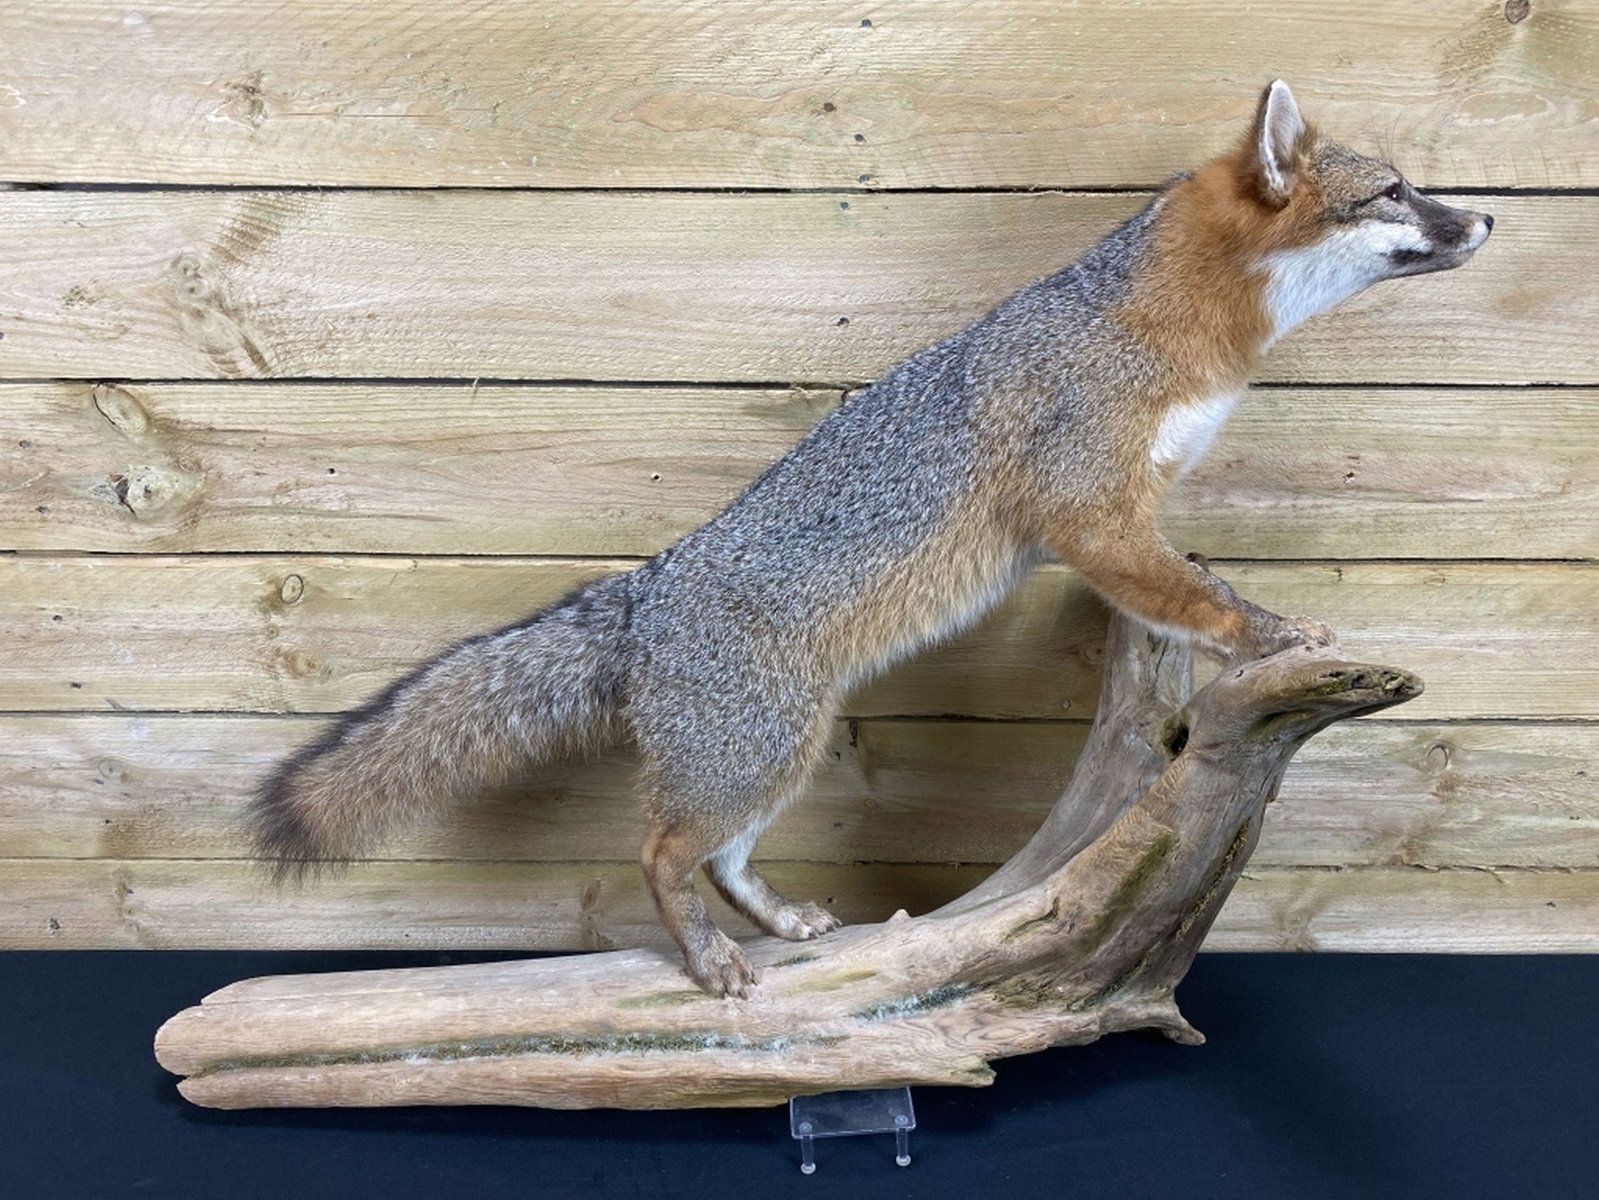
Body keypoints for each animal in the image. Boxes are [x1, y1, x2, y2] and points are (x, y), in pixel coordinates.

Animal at [255, 81, 1492, 996]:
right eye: (1396, 190)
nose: (1487, 217)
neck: (1162, 328)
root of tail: (649, 589)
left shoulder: (1126, 518)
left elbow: (1179, 588)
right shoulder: (1091, 512)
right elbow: (1202, 600)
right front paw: (1276, 634)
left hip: (778, 751)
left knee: (720, 858)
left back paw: (776, 923)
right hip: (761, 750)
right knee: (659, 852)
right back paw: (707, 960)